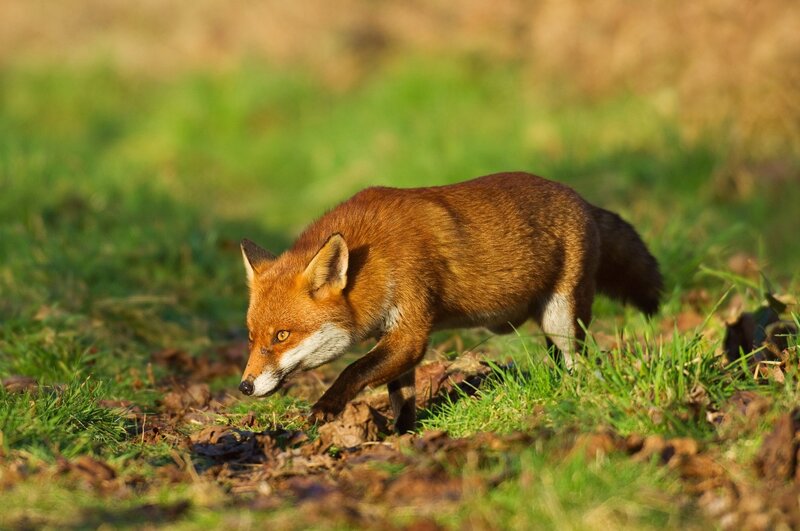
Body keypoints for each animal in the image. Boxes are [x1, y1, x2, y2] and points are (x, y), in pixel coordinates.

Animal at [238, 172, 662, 433]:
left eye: (282, 336)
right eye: (252, 337)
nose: (244, 387)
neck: (375, 259)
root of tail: (582, 200)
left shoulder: (410, 330)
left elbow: (353, 370)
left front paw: (327, 407)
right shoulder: (397, 338)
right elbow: (401, 396)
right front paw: (401, 435)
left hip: (563, 322)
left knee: (583, 364)